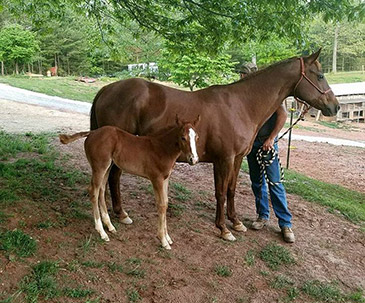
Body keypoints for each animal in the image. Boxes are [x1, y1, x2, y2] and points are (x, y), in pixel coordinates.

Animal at [59, 116, 199, 249]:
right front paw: (163, 241)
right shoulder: (157, 179)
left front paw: (167, 237)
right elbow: (161, 205)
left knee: (101, 190)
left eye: (196, 137)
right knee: (93, 191)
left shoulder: (165, 179)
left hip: (107, 166)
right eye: (183, 138)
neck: (161, 148)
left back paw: (110, 226)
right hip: (99, 166)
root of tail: (92, 132)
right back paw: (101, 232)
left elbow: (166, 203)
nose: (194, 159)